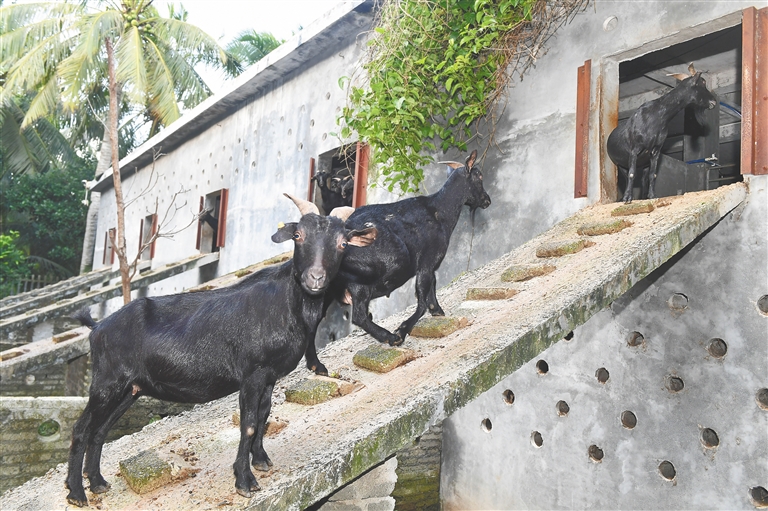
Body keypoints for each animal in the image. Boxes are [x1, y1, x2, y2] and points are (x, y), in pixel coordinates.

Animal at [64, 196, 376, 508]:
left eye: (343, 244)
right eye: (298, 236)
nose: (315, 278)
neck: (286, 304)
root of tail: (97, 328)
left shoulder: (270, 376)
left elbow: (264, 415)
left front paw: (261, 460)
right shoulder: (252, 374)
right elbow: (248, 423)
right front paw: (244, 480)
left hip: (130, 389)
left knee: (100, 431)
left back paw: (98, 483)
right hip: (107, 383)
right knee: (81, 429)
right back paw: (77, 493)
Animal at [608, 65, 720, 204]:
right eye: (703, 82)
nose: (714, 101)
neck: (658, 116)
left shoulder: (656, 150)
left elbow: (653, 175)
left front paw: (652, 196)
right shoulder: (635, 149)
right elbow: (632, 173)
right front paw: (627, 198)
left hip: (643, 163)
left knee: (644, 178)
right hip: (620, 164)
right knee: (628, 174)